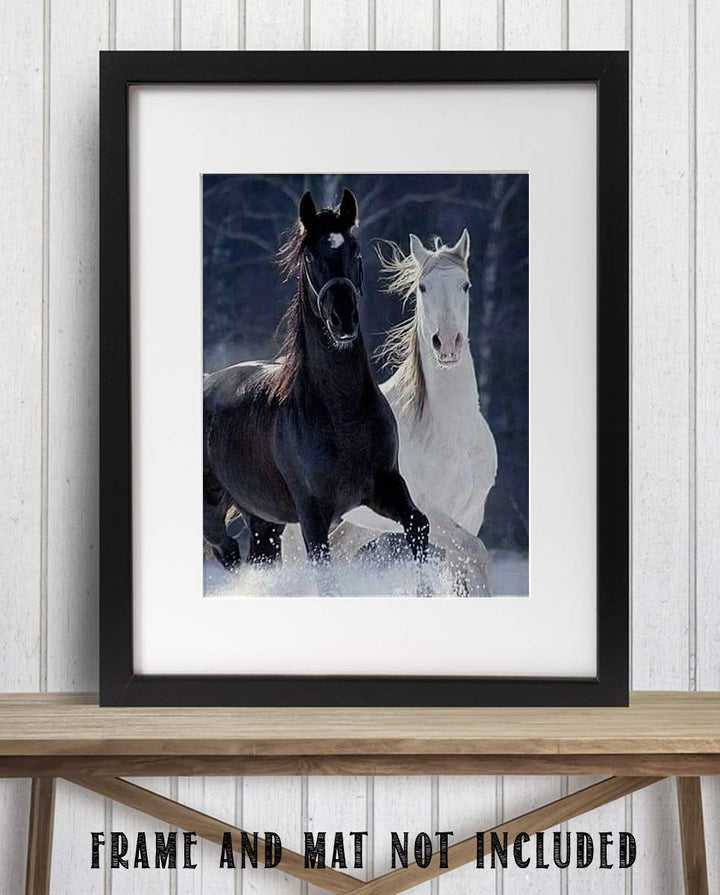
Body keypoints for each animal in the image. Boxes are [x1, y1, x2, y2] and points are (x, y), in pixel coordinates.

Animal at [203, 189, 429, 592]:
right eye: (310, 257)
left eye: (355, 250)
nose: (343, 319)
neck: (341, 414)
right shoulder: (313, 516)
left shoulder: (386, 487)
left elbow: (419, 526)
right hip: (212, 512)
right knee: (227, 552)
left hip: (264, 519)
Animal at [329, 229, 498, 595]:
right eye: (422, 287)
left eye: (466, 285)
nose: (446, 343)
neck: (451, 433)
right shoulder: (427, 513)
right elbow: (473, 555)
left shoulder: (471, 513)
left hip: (362, 525)